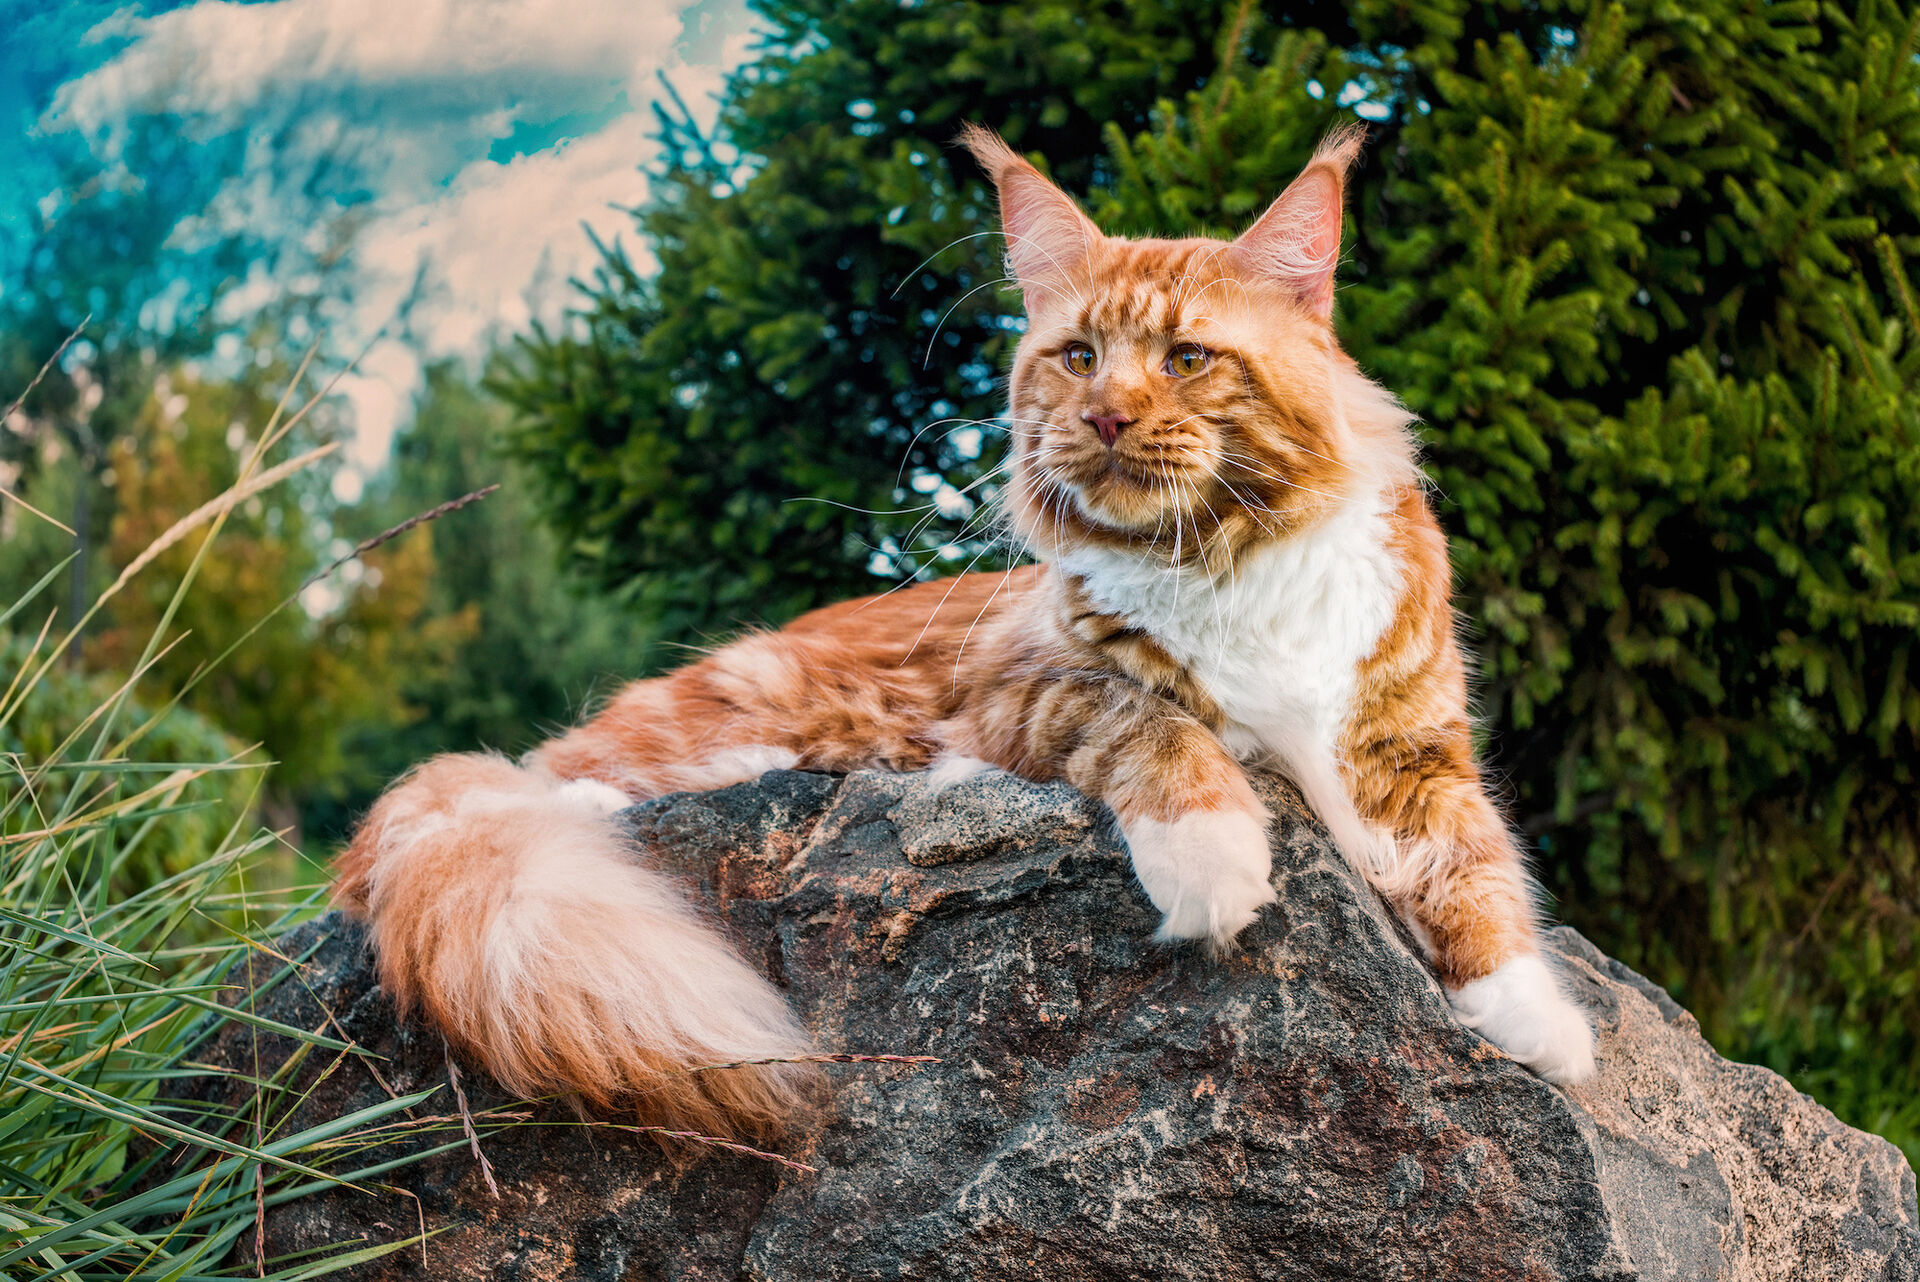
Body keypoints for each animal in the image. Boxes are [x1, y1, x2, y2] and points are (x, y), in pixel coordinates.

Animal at [337, 124, 1597, 1136]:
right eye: (1079, 357)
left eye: (1187, 358)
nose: (1107, 416)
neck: (1221, 563)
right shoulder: (1026, 684)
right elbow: (1155, 727)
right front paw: (1215, 858)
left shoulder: (1411, 740)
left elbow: (1481, 867)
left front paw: (1535, 1018)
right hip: (742, 723)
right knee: (553, 781)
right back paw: (593, 806)